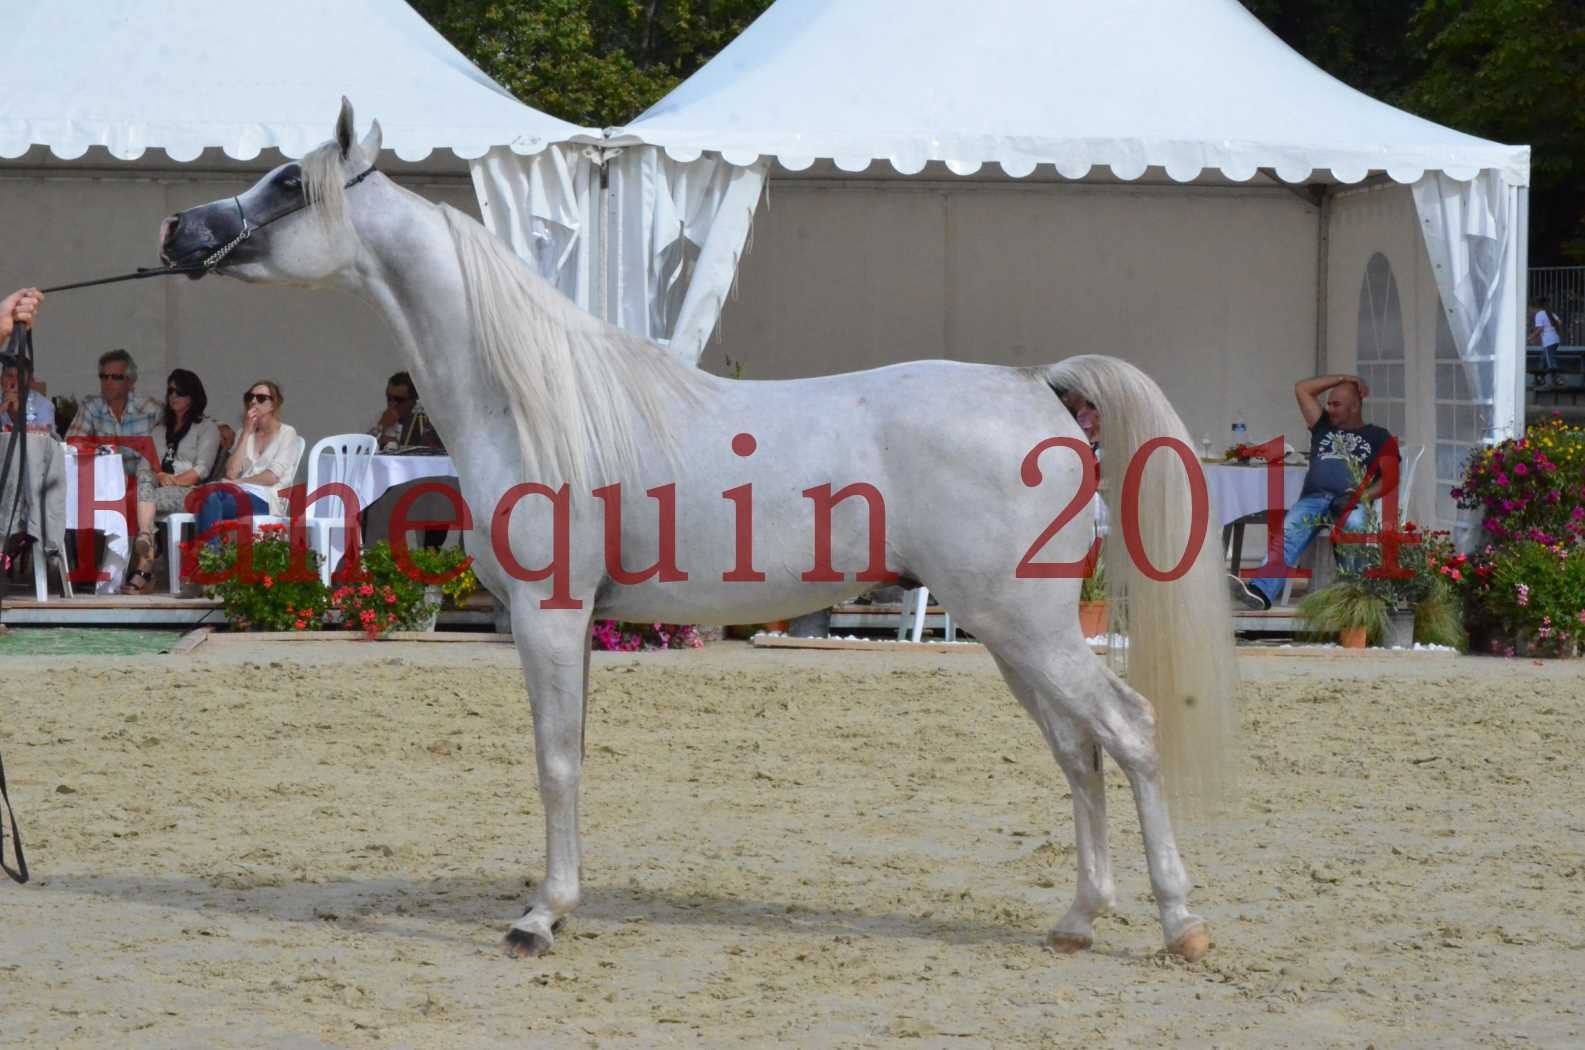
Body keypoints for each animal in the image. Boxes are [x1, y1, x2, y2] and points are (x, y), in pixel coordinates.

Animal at [164, 103, 1248, 964]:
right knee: (1077, 750)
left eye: (287, 181)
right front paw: (562, 902)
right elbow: (572, 756)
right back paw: (1075, 920)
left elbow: (553, 761)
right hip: (1008, 630)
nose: (179, 228)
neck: (530, 397)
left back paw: (1180, 924)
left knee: (1127, 729)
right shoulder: (573, 623)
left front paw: (538, 920)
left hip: (1028, 624)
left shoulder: (548, 614)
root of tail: (1038, 386)